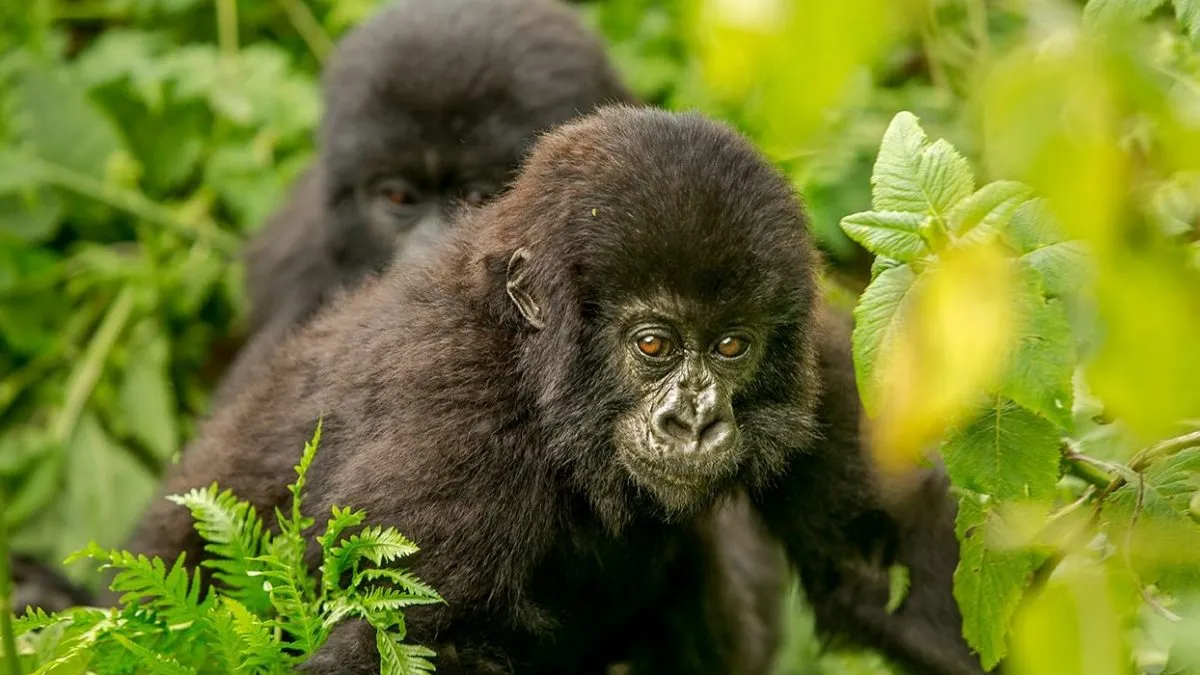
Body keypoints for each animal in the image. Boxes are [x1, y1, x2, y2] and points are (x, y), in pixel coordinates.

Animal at [123, 105, 983, 675]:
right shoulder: (455, 428)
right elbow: (387, 644)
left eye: (732, 345)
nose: (695, 422)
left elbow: (883, 567)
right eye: (652, 344)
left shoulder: (825, 366)